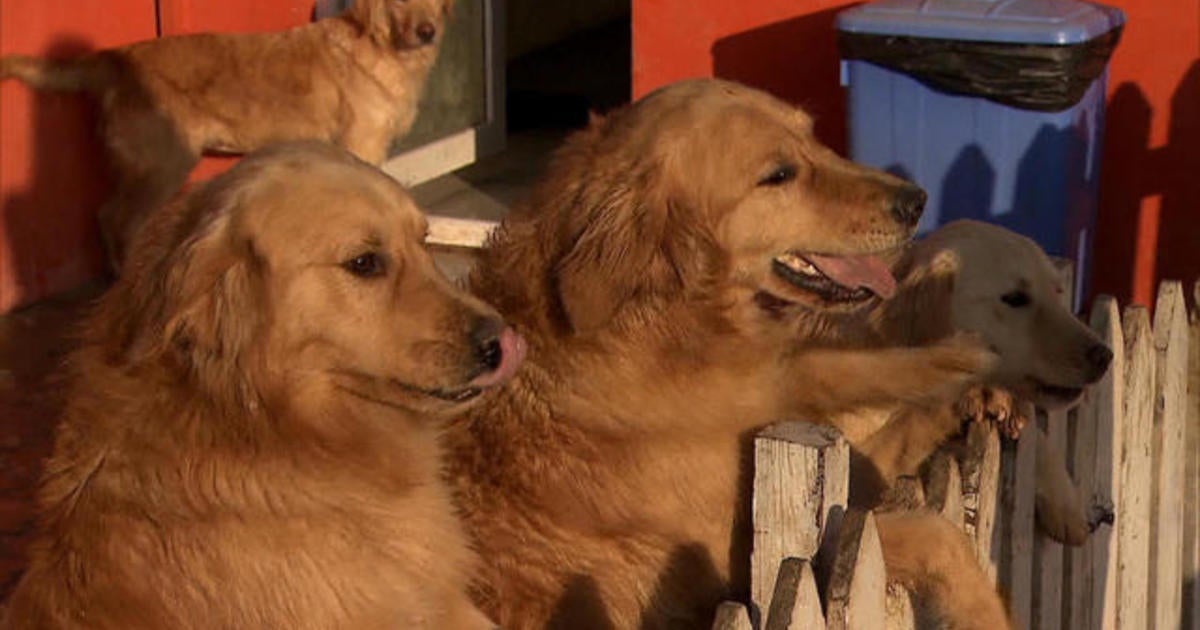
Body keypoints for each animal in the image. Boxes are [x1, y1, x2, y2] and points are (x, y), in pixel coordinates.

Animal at [1, 0, 451, 267]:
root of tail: (112, 58)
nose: (428, 31)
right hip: (165, 165)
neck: (381, 47)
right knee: (116, 220)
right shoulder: (362, 146)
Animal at [441, 78, 993, 628]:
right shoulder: (736, 567)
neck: (666, 327)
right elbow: (936, 533)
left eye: (813, 136)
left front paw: (964, 379)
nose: (917, 200)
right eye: (779, 175)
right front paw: (986, 609)